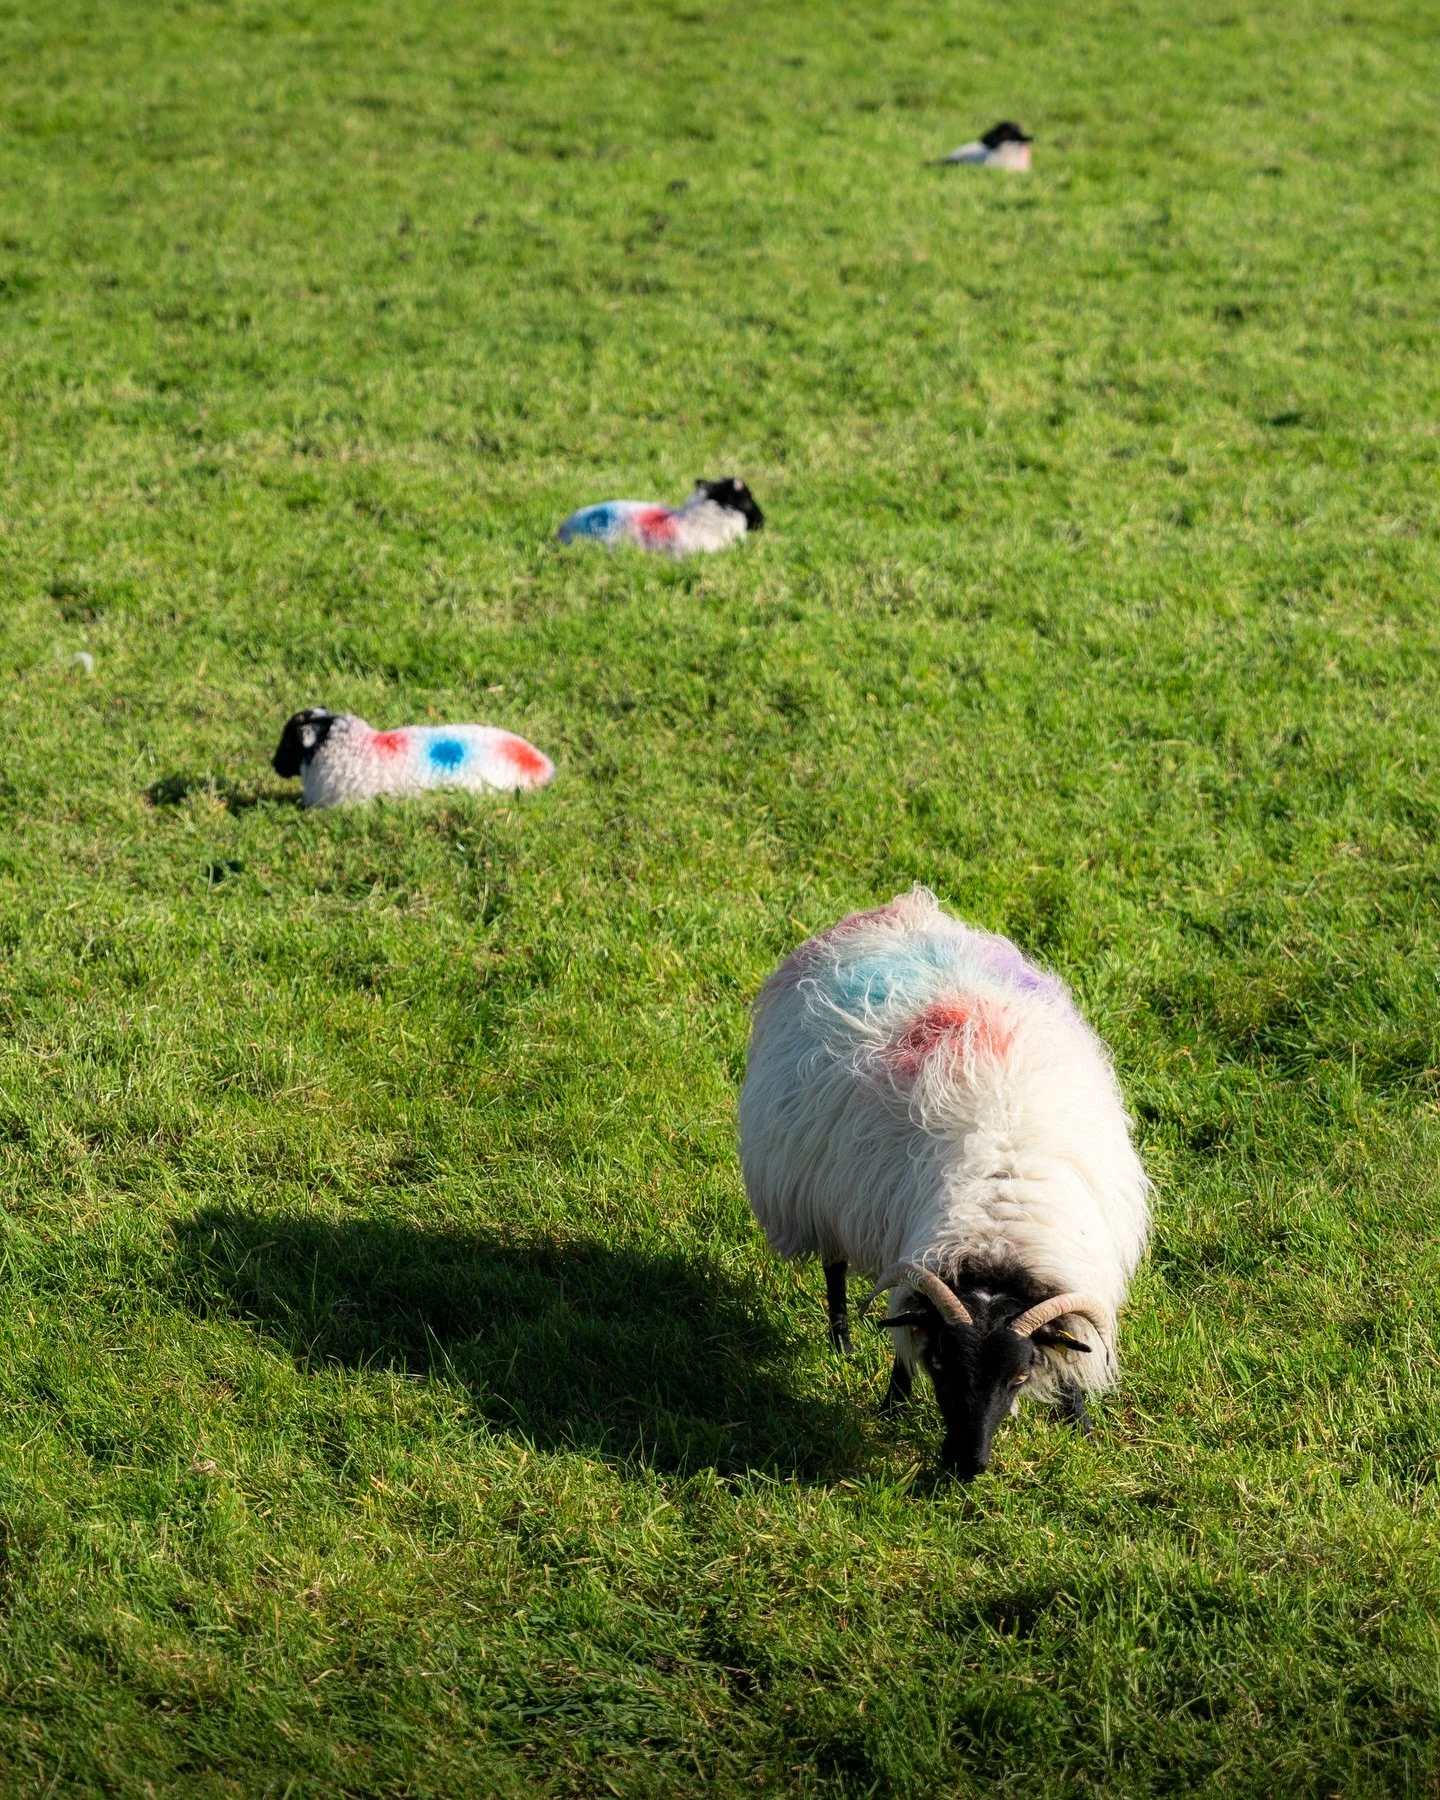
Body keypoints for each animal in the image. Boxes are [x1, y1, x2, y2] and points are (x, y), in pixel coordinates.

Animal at [738, 884, 1150, 1480]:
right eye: (940, 1365)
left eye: (1019, 1376)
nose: (966, 1465)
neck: (1001, 1215)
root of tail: (898, 909)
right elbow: (901, 1340)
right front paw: (891, 1406)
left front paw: (1083, 1427)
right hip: (823, 1193)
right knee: (834, 1267)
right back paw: (840, 1344)